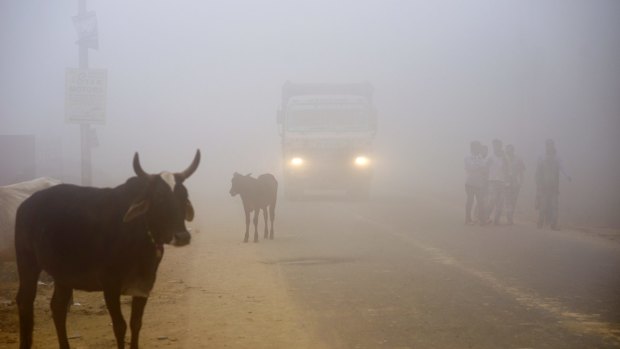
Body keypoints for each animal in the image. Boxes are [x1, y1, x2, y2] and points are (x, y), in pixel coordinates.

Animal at [14, 150, 200, 348]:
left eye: (184, 196)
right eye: (159, 197)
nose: (182, 236)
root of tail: (26, 204)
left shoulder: (144, 285)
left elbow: (136, 323)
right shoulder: (110, 285)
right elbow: (120, 326)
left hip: (63, 274)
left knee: (58, 307)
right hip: (27, 262)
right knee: (25, 301)